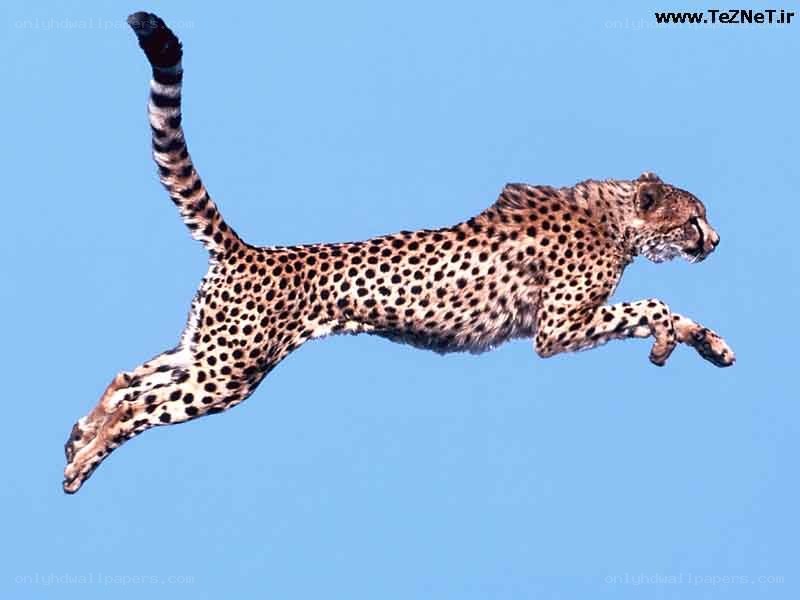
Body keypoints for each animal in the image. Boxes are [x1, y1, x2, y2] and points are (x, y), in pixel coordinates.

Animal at [63, 12, 735, 494]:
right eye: (693, 219)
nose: (716, 240)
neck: (615, 218)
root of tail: (248, 249)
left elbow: (667, 312)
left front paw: (708, 344)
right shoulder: (559, 328)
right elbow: (652, 303)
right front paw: (671, 338)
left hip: (210, 352)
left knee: (129, 378)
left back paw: (79, 436)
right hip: (228, 371)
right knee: (141, 401)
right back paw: (84, 458)